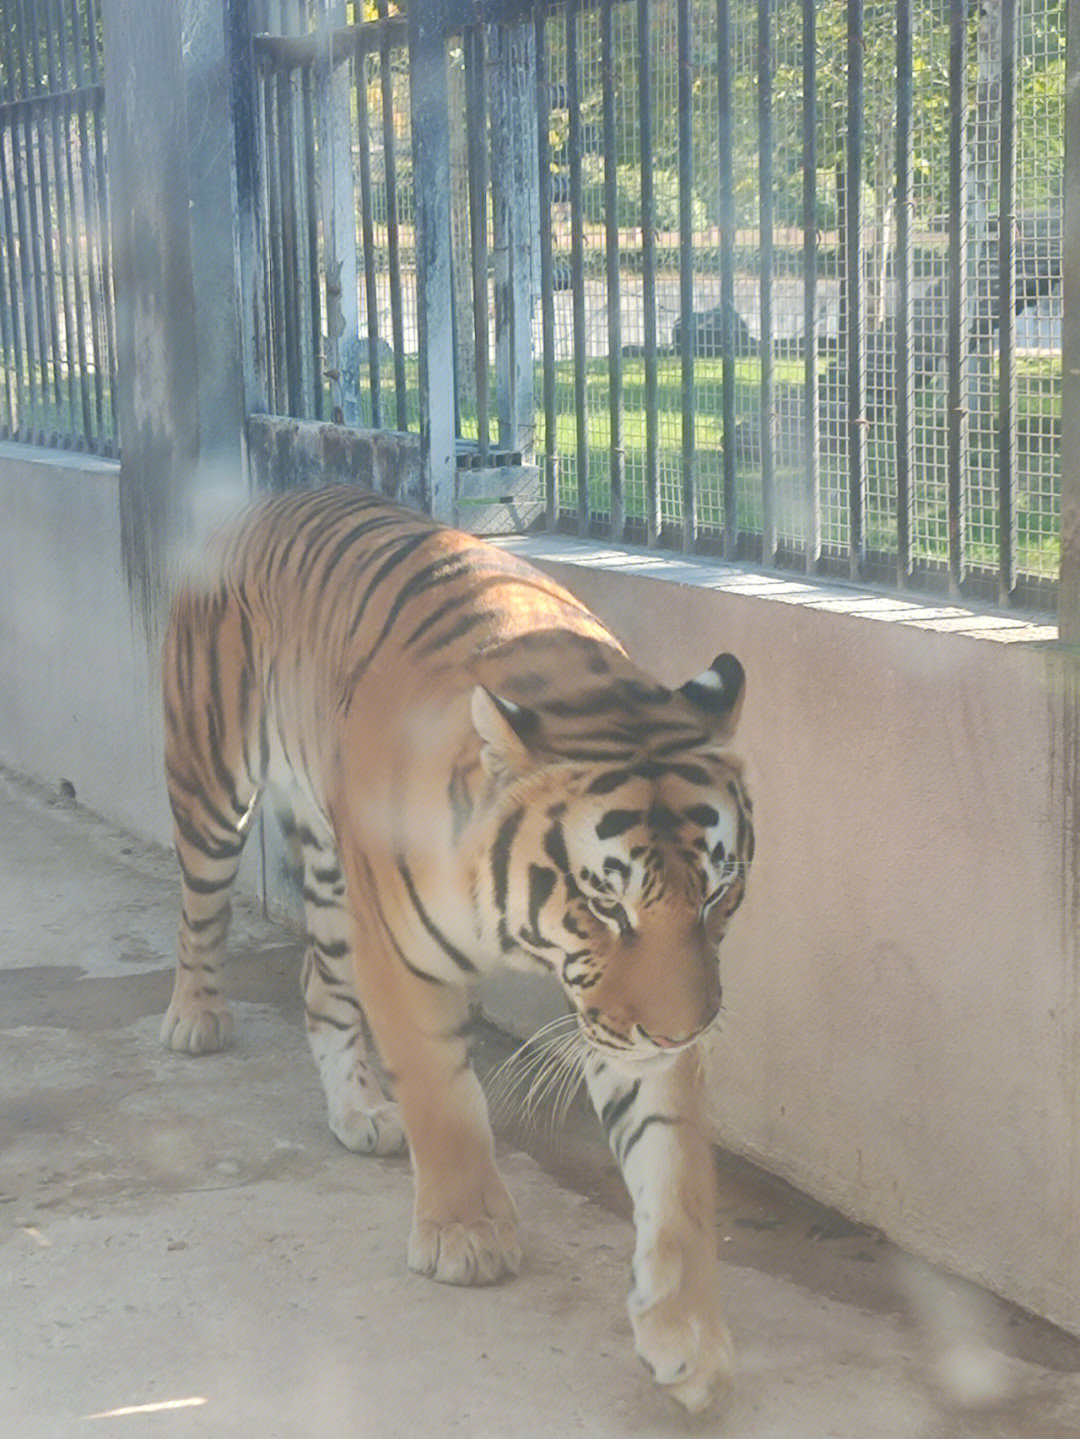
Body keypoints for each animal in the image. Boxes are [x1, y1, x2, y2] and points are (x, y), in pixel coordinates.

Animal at [160, 480, 753, 1404]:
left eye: (719, 894)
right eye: (606, 903)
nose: (683, 1032)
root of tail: (263, 498)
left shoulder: (633, 1017)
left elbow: (676, 1170)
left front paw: (686, 1333)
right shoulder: (403, 956)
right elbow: (445, 1100)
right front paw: (467, 1235)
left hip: (334, 881)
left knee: (318, 991)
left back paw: (360, 1110)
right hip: (213, 787)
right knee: (199, 907)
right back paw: (194, 1017)